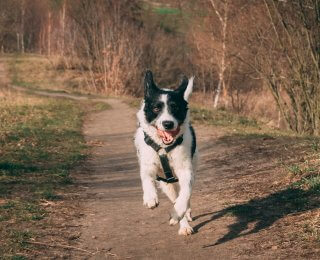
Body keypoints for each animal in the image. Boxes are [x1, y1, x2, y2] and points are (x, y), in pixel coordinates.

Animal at [133, 69, 198, 236]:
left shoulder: (186, 170)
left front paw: (179, 211)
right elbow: (146, 179)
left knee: (184, 196)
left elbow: (185, 193)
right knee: (173, 196)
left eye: (175, 107)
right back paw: (183, 224)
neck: (163, 148)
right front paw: (150, 197)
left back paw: (184, 217)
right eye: (156, 108)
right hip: (166, 184)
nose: (167, 123)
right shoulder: (148, 164)